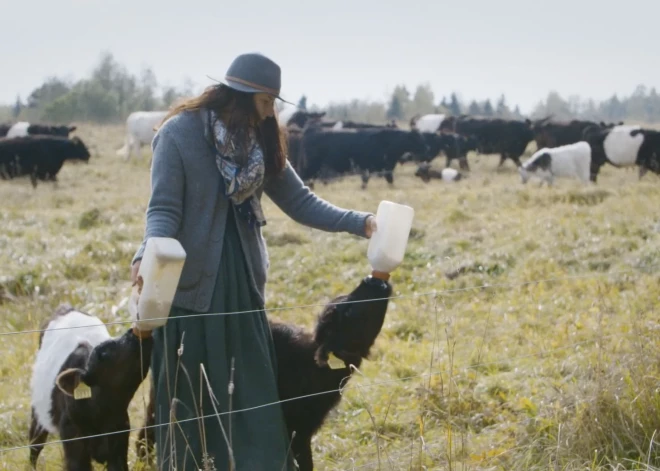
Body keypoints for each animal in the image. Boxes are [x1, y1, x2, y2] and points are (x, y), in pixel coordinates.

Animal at [29, 304, 153, 470]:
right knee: (35, 445)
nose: (132, 333)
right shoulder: (74, 445)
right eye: (103, 353)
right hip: (38, 412)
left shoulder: (119, 440)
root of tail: (66, 307)